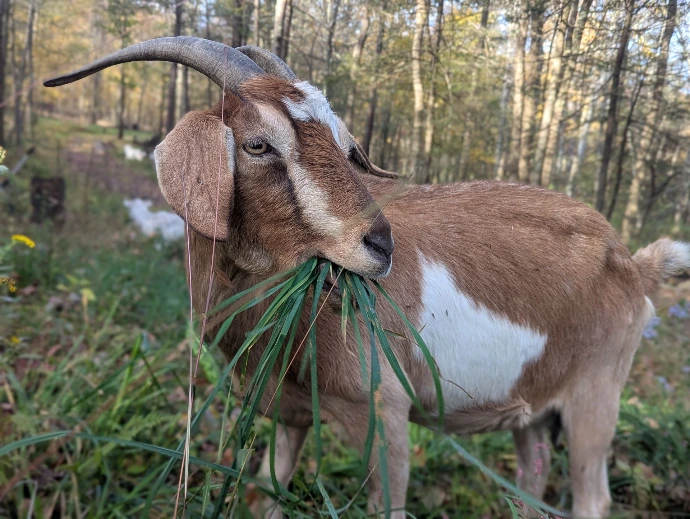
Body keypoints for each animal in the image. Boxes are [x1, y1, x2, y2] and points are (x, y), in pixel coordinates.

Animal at [45, 37, 690, 519]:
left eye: (344, 144)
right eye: (256, 145)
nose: (380, 245)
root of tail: (634, 263)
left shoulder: (383, 414)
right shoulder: (289, 412)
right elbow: (267, 494)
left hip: (595, 395)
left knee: (591, 496)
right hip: (534, 410)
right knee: (531, 483)